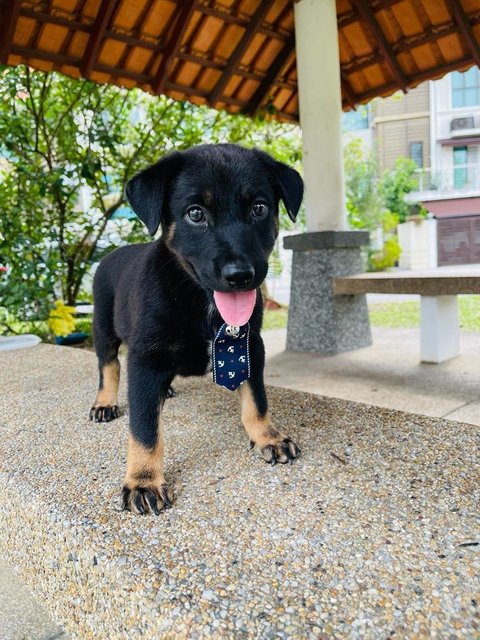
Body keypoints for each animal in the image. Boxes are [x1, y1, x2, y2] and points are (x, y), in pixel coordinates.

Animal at [90, 145, 304, 516]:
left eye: (259, 208)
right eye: (195, 214)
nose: (240, 275)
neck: (200, 299)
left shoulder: (249, 345)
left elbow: (257, 400)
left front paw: (268, 436)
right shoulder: (145, 358)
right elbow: (144, 427)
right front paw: (143, 479)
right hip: (104, 328)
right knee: (109, 366)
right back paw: (105, 402)